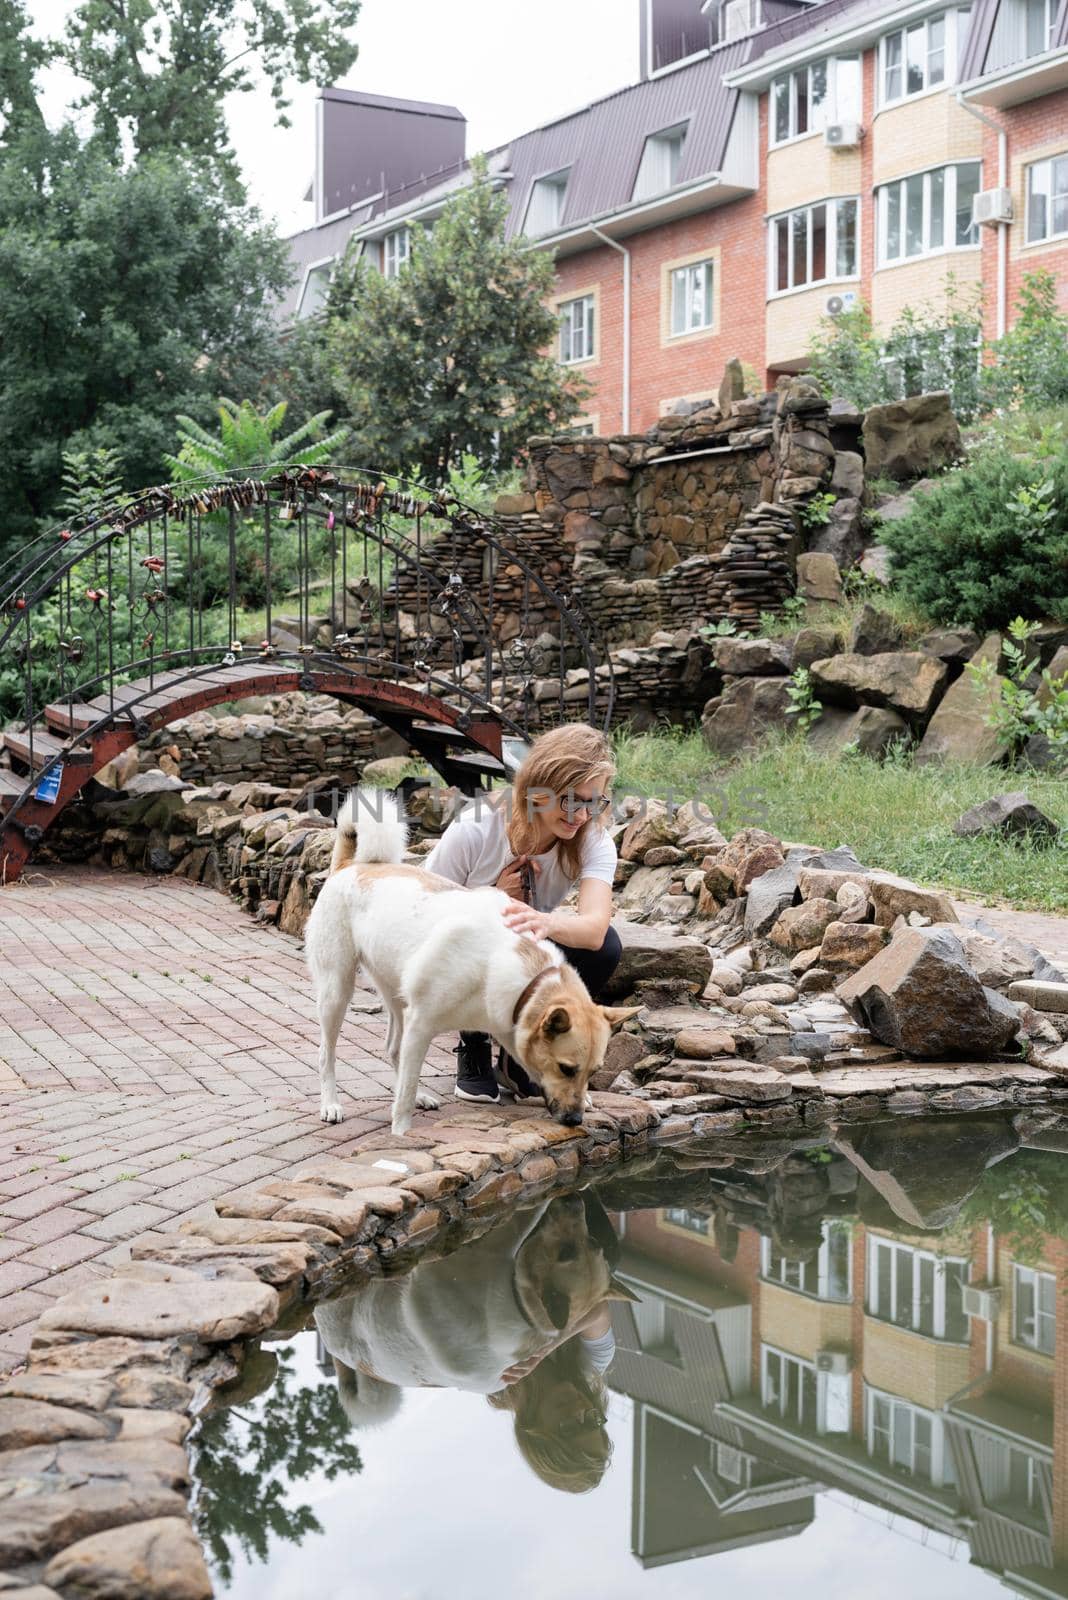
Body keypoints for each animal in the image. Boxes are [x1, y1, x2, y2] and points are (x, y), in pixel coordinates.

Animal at [302, 787, 633, 1139]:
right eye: (566, 1068)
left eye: (593, 1072)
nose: (575, 1120)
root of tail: (351, 865)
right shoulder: (421, 1025)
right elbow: (404, 1096)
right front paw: (401, 1134)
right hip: (337, 990)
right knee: (326, 1053)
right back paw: (331, 1104)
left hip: (396, 992)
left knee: (393, 1049)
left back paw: (420, 1096)